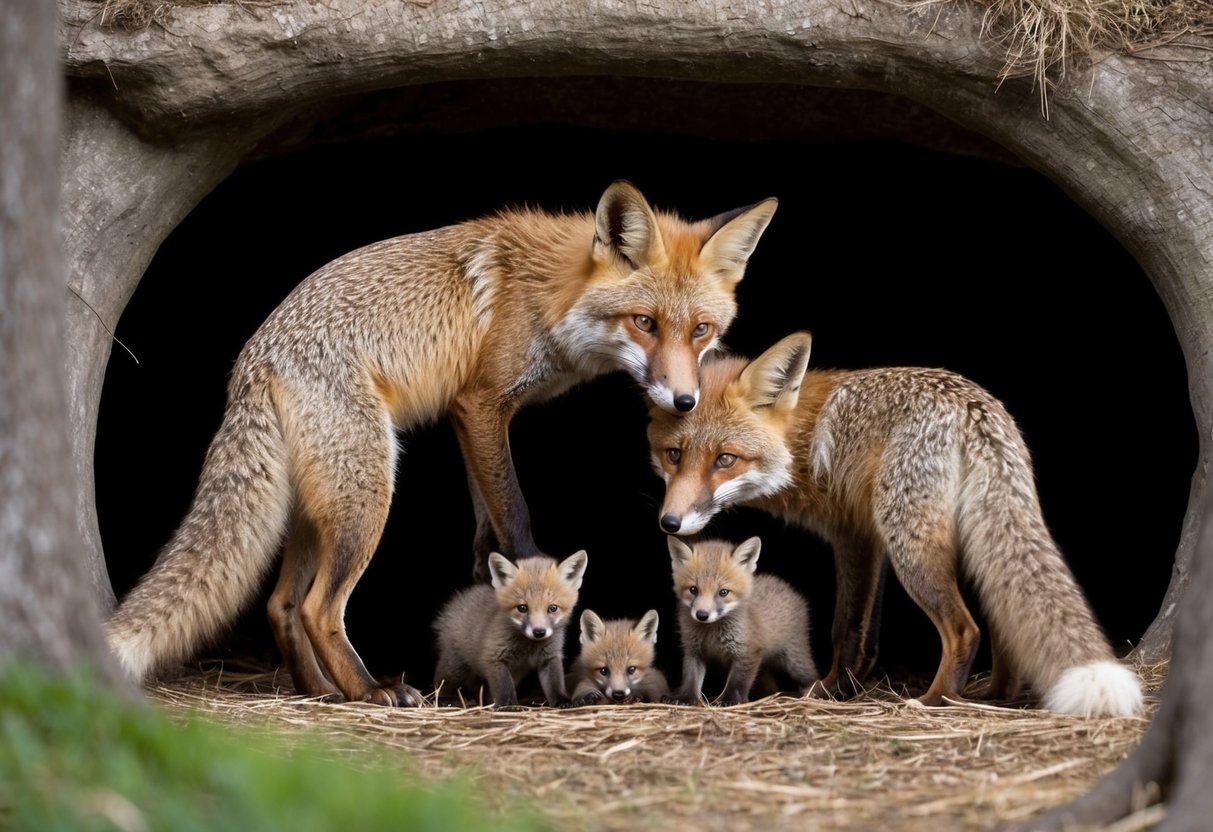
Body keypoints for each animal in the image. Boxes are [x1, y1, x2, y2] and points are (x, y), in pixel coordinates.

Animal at [433, 550, 587, 708]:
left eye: (553, 608)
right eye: (522, 608)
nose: (539, 632)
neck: (528, 647)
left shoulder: (550, 657)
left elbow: (555, 685)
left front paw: (562, 701)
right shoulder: (494, 658)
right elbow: (504, 688)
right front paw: (509, 706)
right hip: (455, 667)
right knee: (442, 682)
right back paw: (445, 700)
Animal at [666, 535, 819, 706]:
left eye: (723, 592)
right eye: (693, 589)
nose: (702, 615)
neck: (711, 632)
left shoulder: (747, 653)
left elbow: (737, 683)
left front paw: (729, 700)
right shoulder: (694, 650)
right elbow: (690, 679)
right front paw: (684, 697)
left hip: (794, 661)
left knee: (813, 677)